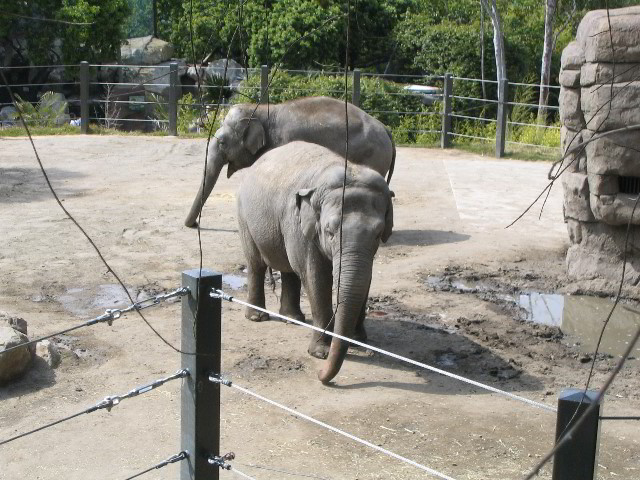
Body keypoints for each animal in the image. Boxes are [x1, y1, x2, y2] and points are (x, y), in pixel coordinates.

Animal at [238, 139, 392, 382]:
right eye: (329, 232)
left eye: (378, 234)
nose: (320, 375)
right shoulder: (300, 223)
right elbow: (315, 277)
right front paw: (320, 353)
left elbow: (365, 279)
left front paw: (360, 342)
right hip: (244, 215)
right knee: (256, 264)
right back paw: (257, 317)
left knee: (289, 270)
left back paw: (293, 319)